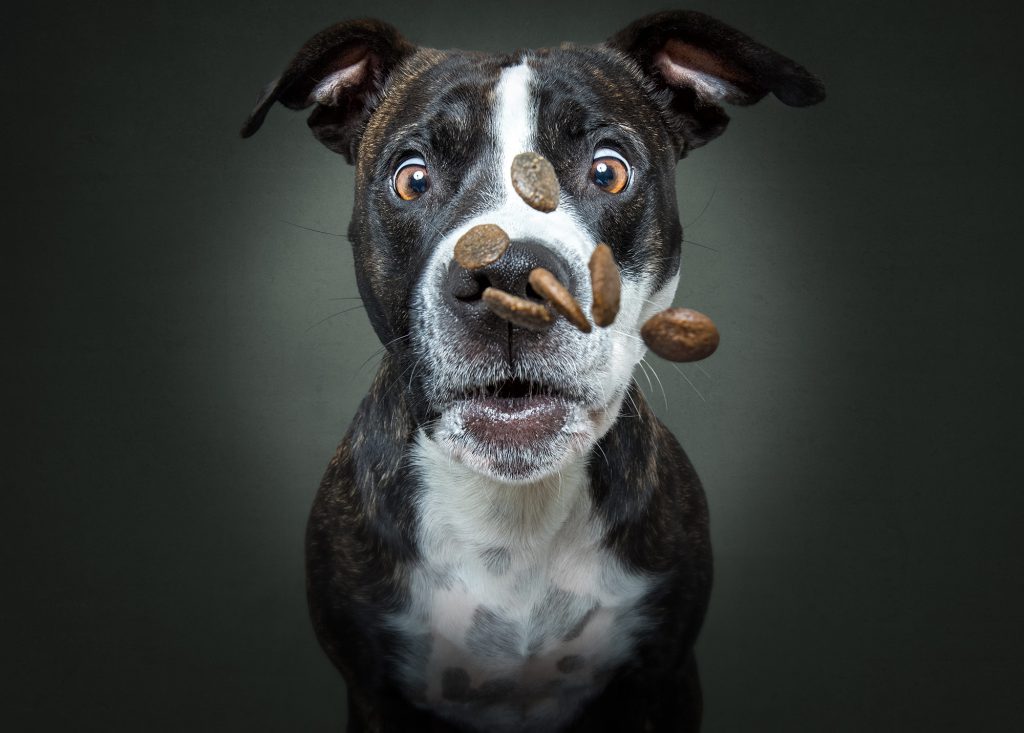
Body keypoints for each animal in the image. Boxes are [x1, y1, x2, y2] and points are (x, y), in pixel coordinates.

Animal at [239, 8, 823, 728]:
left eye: (609, 171)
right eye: (412, 177)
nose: (511, 276)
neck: (512, 516)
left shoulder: (662, 675)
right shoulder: (374, 688)